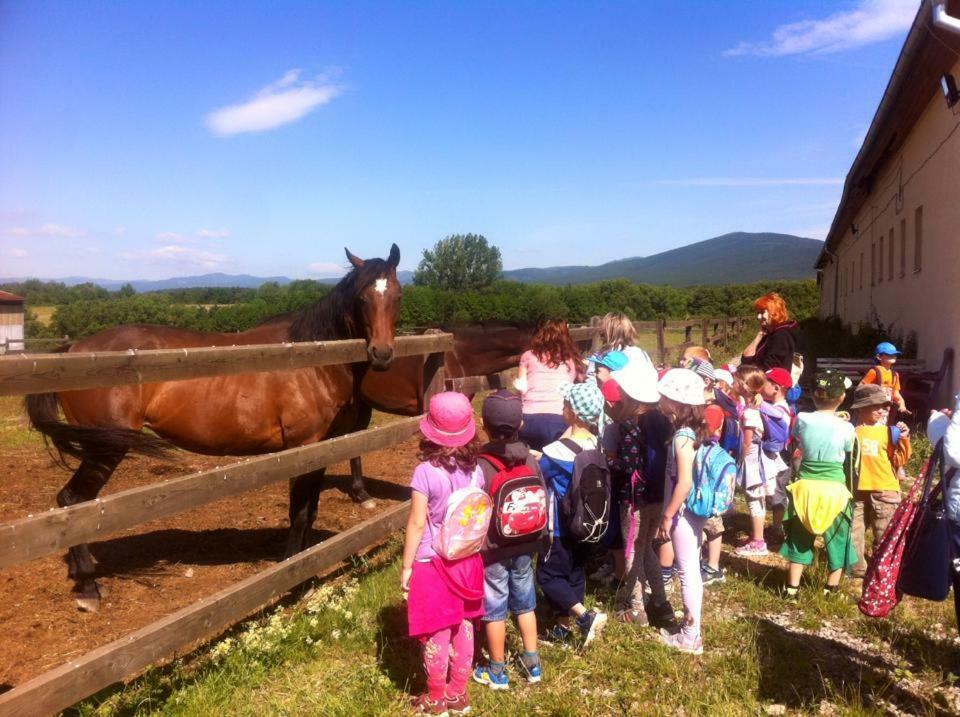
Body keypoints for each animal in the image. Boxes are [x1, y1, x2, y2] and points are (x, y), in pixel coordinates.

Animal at [25, 245, 402, 608]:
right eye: (363, 297)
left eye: (397, 296)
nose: (382, 354)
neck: (312, 359)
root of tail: (74, 349)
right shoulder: (303, 447)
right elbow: (299, 513)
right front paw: (292, 572)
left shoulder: (323, 448)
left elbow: (309, 511)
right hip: (105, 449)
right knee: (72, 501)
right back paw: (89, 588)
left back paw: (81, 575)